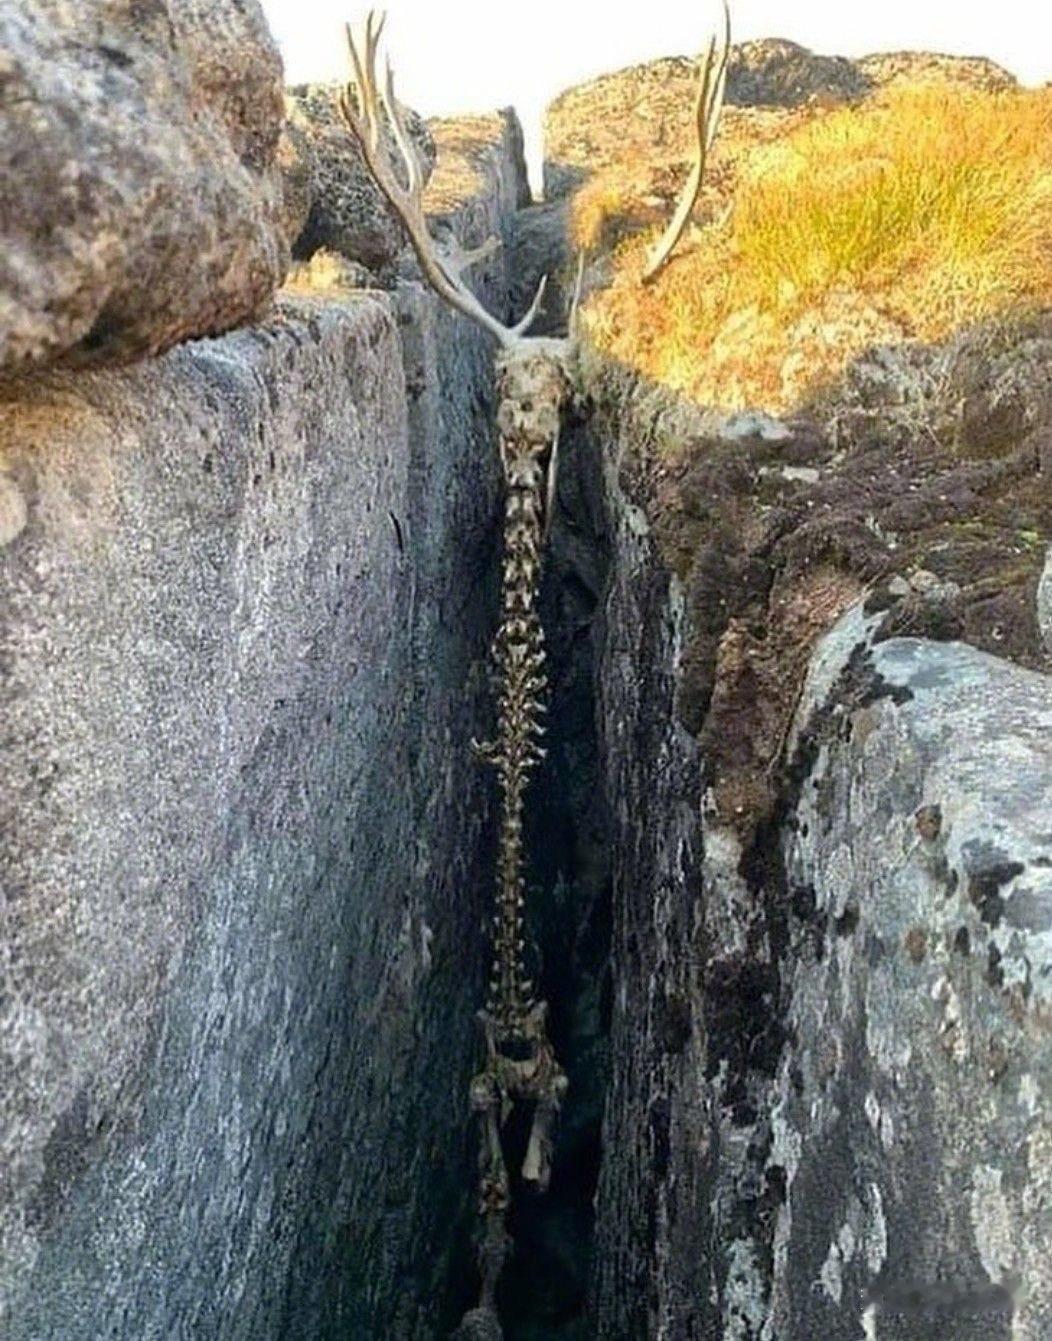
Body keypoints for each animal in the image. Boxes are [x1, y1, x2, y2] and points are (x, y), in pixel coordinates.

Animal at [339, 10, 731, 1334]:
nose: (517, 445)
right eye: (500, 384)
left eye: (561, 391)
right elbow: (486, 1258)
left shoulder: (542, 1092)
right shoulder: (485, 1107)